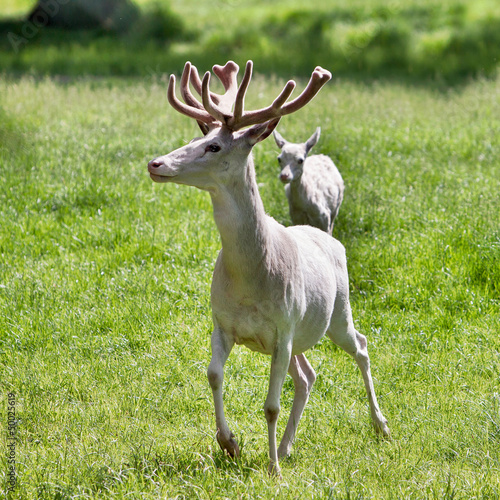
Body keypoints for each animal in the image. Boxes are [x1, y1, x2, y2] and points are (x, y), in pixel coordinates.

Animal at [146, 60, 388, 478]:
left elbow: (270, 405)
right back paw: (289, 446)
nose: (156, 163)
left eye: (214, 146)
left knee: (360, 346)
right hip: (301, 334)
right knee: (307, 375)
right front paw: (230, 444)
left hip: (336, 311)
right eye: (196, 136)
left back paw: (381, 425)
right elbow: (212, 374)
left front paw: (272, 469)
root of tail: (330, 238)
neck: (250, 280)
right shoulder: (222, 322)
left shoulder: (283, 327)